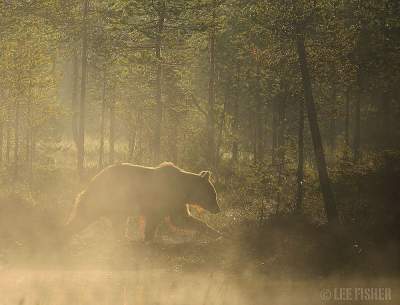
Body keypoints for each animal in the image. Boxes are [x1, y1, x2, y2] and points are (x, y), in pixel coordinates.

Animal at [65, 162, 222, 240]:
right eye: (213, 194)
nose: (218, 209)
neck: (184, 189)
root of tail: (93, 180)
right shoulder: (165, 199)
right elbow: (171, 220)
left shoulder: (176, 203)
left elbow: (181, 219)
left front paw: (216, 232)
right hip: (106, 197)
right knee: (83, 215)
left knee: (117, 222)